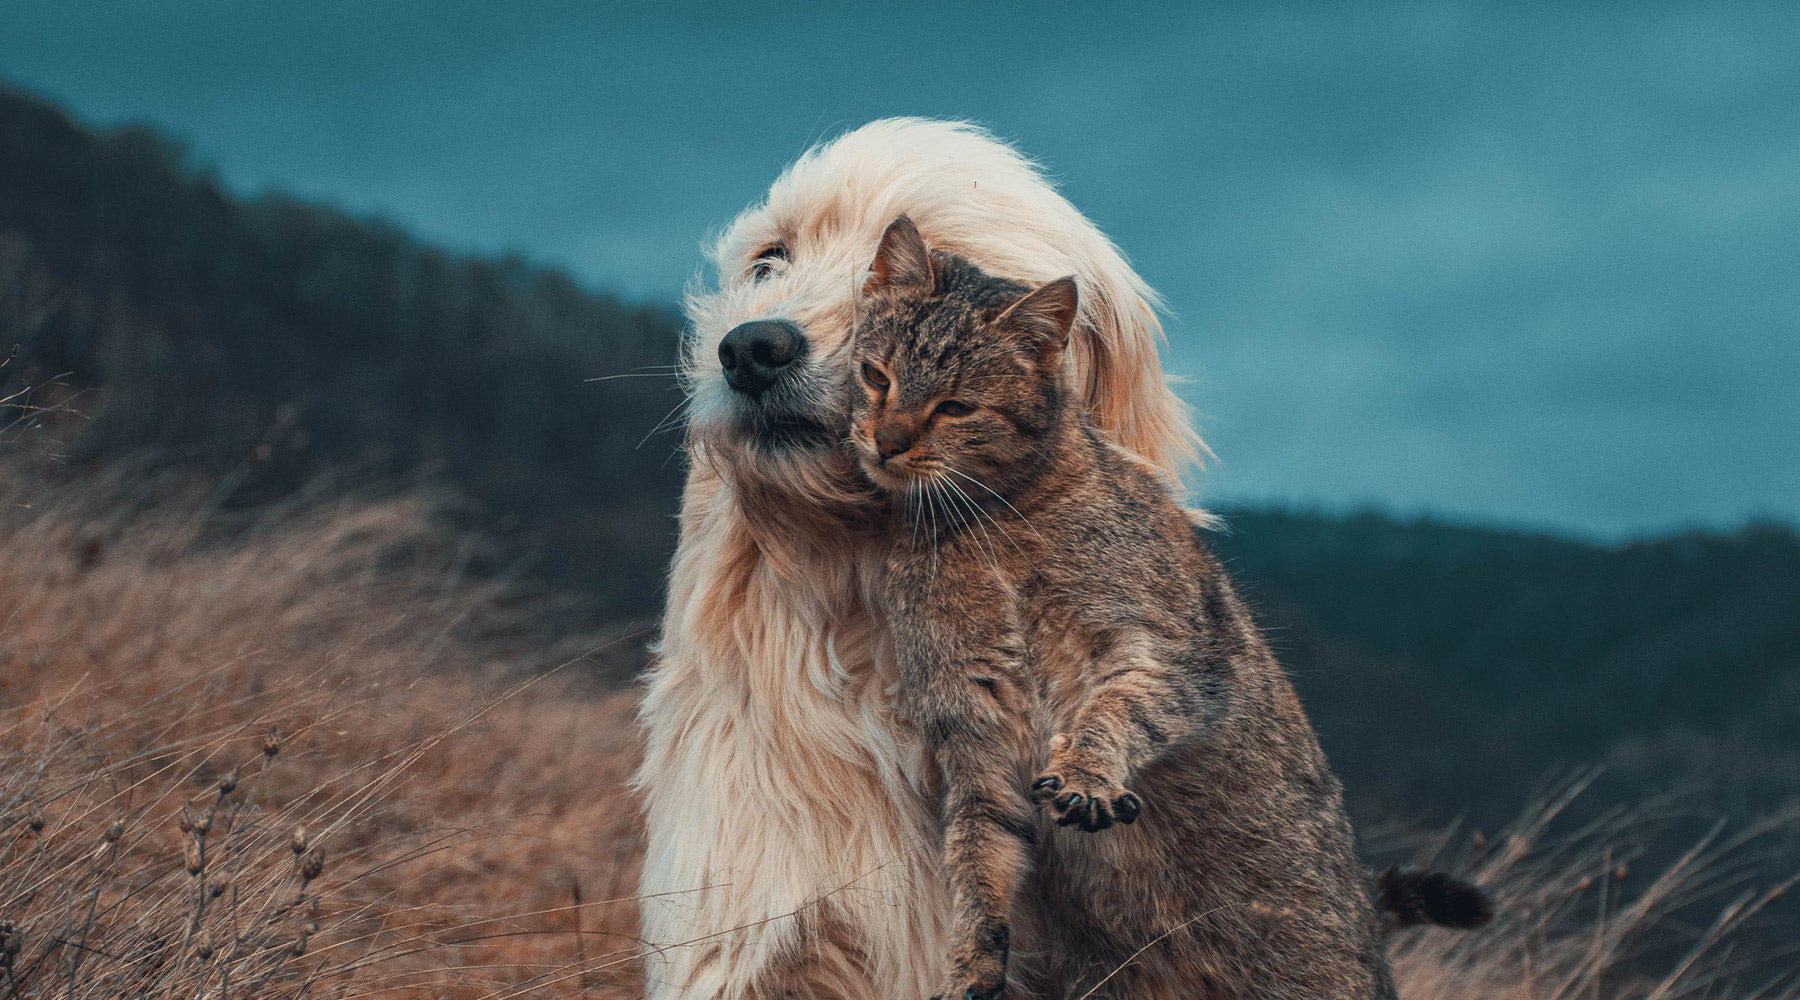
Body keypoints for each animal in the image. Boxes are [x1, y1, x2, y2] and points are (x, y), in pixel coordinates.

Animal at [849, 218, 1396, 1000]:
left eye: (955, 407)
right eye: (877, 376)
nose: (886, 442)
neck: (983, 527)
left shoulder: (1166, 654)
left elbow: (1113, 714)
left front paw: (1086, 773)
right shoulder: (974, 734)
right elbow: (978, 859)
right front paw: (971, 962)